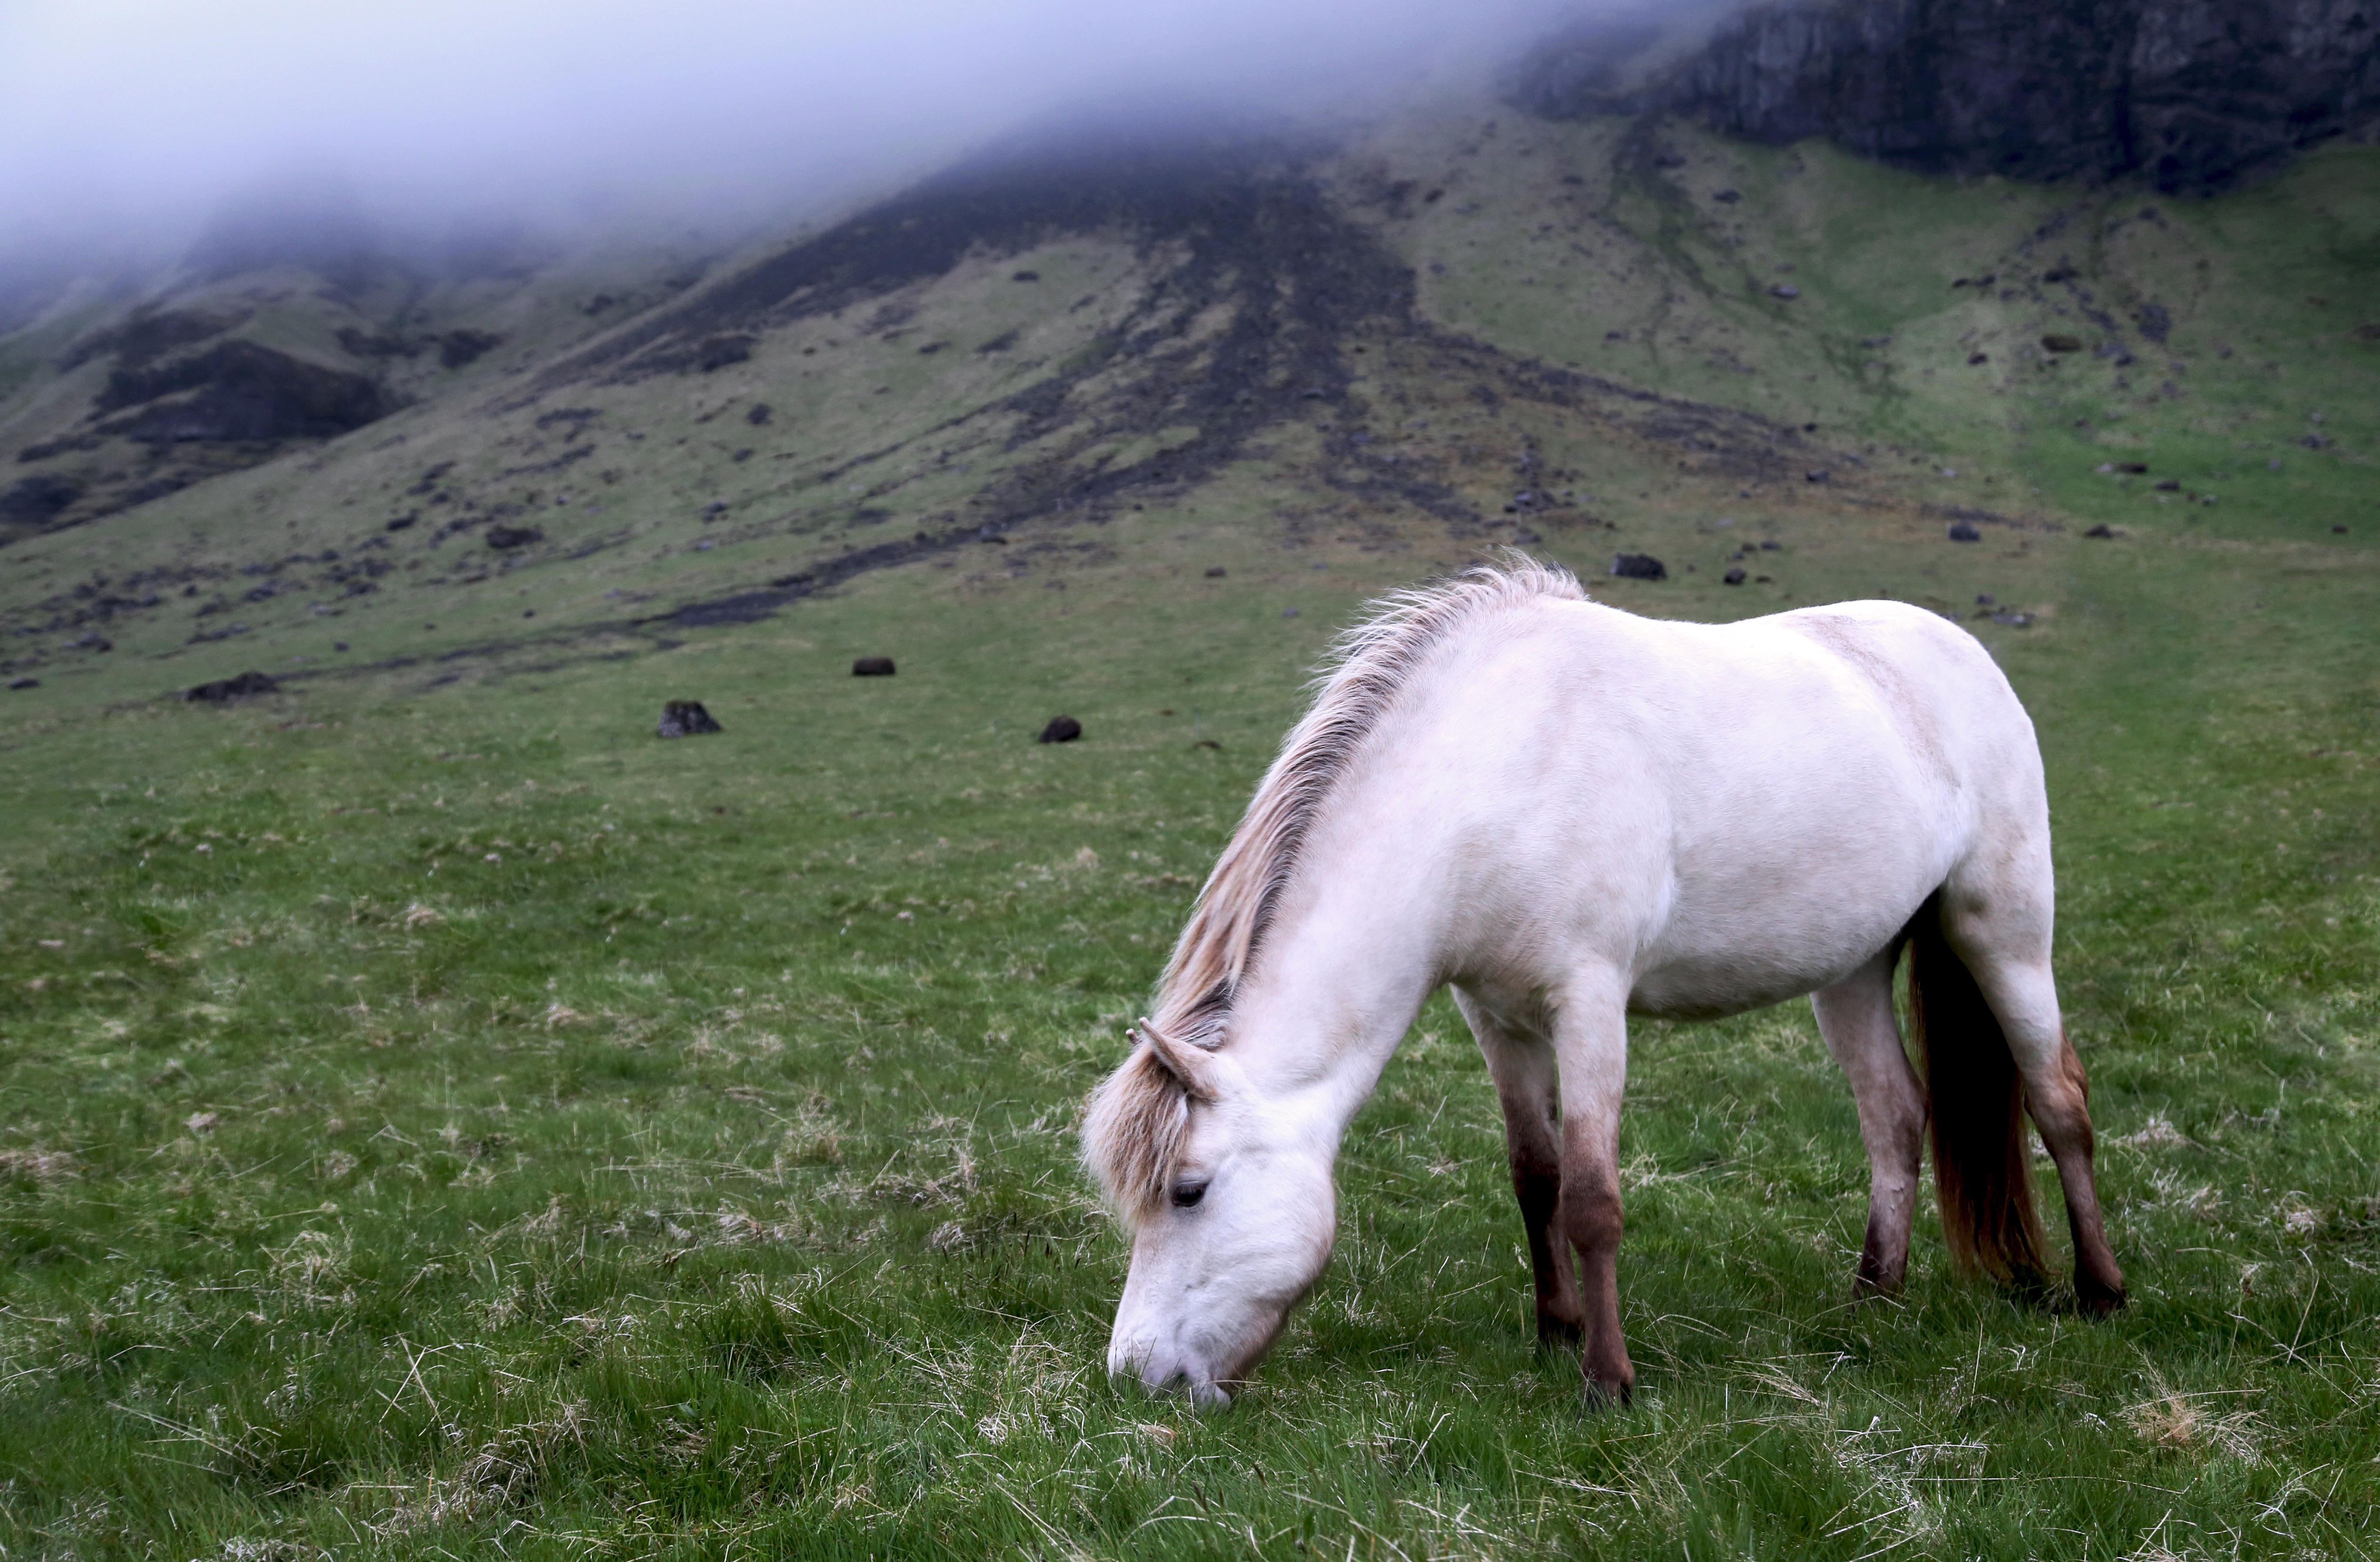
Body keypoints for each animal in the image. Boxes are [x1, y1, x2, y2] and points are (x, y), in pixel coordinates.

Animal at [1080, 557, 2123, 1400]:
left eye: (1188, 1191)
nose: (1135, 1374)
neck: (1489, 777)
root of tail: (1959, 649)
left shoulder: (1588, 1003)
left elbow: (1590, 1198)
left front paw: (1607, 1379)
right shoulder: (1495, 1016)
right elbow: (1533, 1176)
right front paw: (1556, 1331)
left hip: (2003, 931)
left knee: (2057, 1099)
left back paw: (2101, 1290)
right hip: (1853, 969)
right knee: (1895, 1115)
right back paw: (1874, 1296)